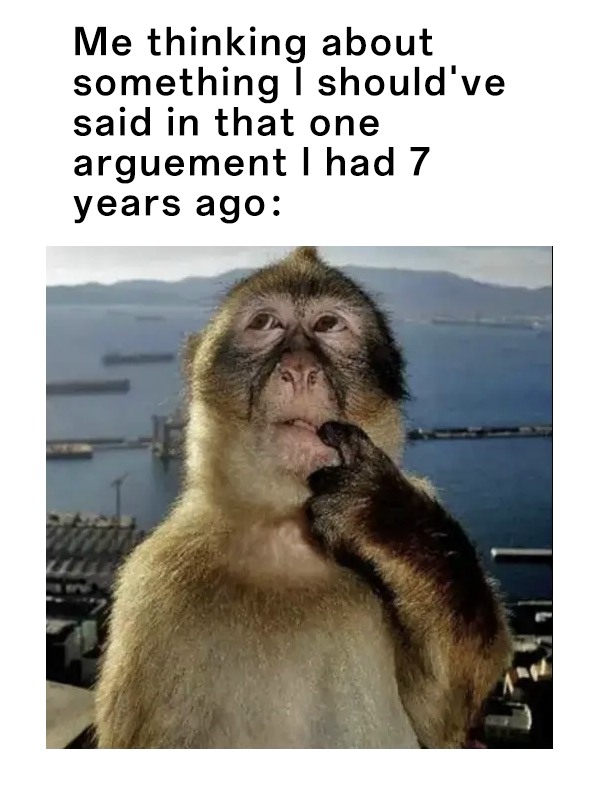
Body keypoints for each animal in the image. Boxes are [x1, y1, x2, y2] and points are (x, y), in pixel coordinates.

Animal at [94, 246, 512, 749]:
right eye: (265, 323)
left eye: (329, 324)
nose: (299, 369)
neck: (285, 535)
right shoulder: (151, 591)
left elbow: (442, 717)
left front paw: (383, 514)